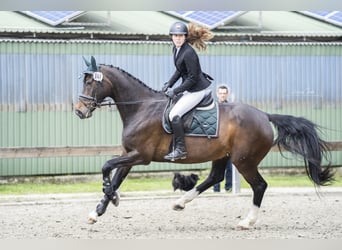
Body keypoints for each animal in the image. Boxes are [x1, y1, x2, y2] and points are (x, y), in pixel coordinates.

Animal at [75, 56, 334, 229]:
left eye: (91, 83)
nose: (79, 111)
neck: (141, 107)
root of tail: (264, 115)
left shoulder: (141, 155)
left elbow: (107, 167)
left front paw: (110, 198)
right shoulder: (129, 154)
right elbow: (116, 177)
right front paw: (98, 210)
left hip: (244, 160)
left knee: (259, 186)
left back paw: (247, 221)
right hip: (223, 155)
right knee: (215, 177)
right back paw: (181, 202)